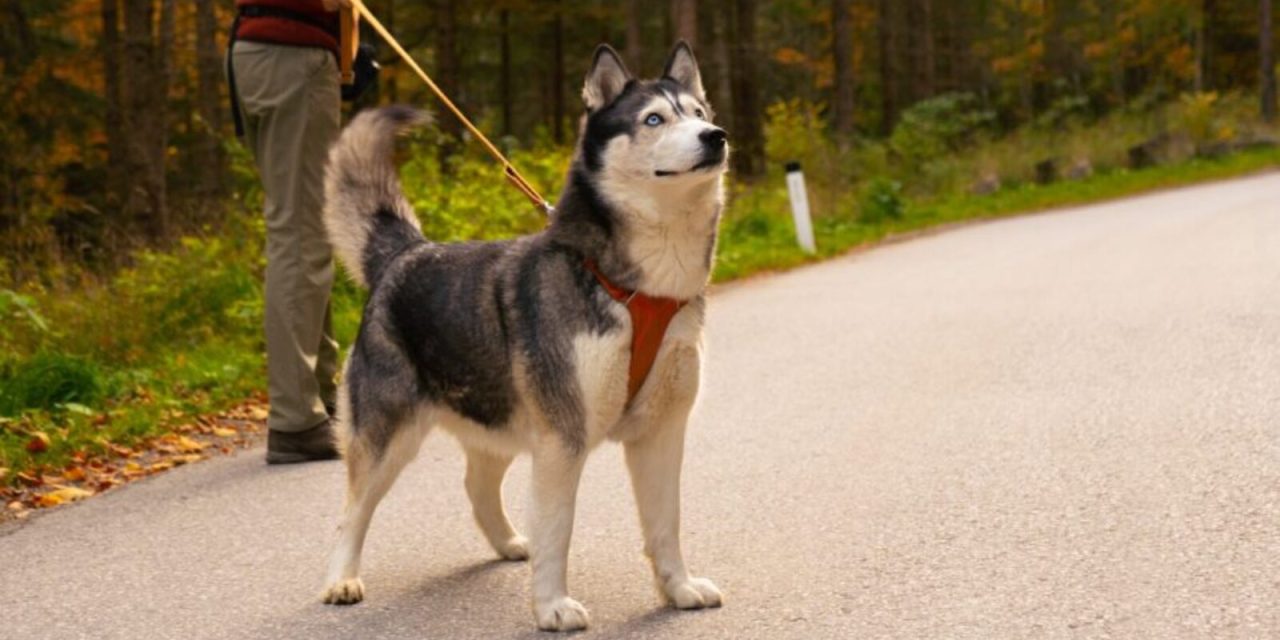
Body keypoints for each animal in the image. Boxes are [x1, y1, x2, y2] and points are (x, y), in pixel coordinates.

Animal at [320, 41, 732, 629]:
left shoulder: (661, 432)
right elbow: (558, 530)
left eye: (699, 113)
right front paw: (553, 606)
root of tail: (407, 252)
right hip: (387, 435)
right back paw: (341, 578)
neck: (640, 288)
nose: (715, 136)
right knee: (353, 508)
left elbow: (665, 524)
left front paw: (678, 589)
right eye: (654, 119)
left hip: (499, 417)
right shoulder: (563, 438)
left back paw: (510, 541)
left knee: (476, 483)